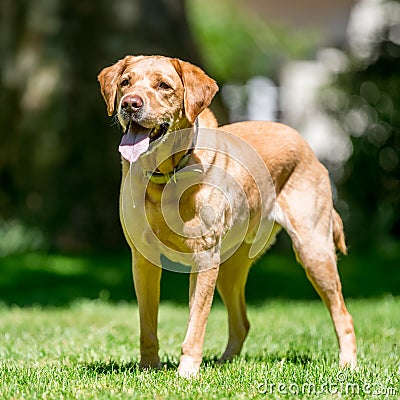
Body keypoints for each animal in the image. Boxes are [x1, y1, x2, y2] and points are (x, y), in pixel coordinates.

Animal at [97, 54, 356, 376]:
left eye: (163, 86)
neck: (165, 175)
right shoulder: (143, 259)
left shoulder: (204, 259)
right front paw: (148, 368)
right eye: (125, 82)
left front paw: (187, 372)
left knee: (343, 314)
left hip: (313, 251)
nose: (130, 104)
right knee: (242, 323)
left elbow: (195, 324)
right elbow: (148, 324)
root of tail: (305, 144)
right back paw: (224, 363)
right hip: (230, 268)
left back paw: (348, 364)